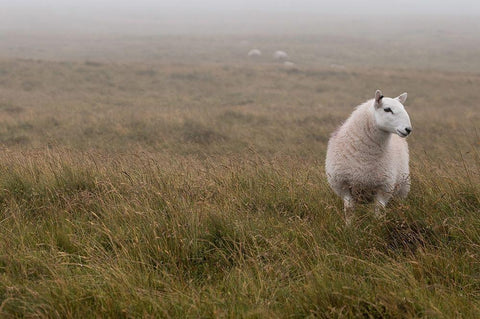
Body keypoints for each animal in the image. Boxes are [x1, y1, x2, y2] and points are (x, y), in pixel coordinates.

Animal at [326, 90, 412, 225]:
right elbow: (349, 209)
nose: (408, 129)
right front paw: (349, 227)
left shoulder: (384, 187)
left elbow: (378, 209)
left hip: (403, 187)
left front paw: (377, 226)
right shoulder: (343, 184)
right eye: (387, 109)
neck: (365, 158)